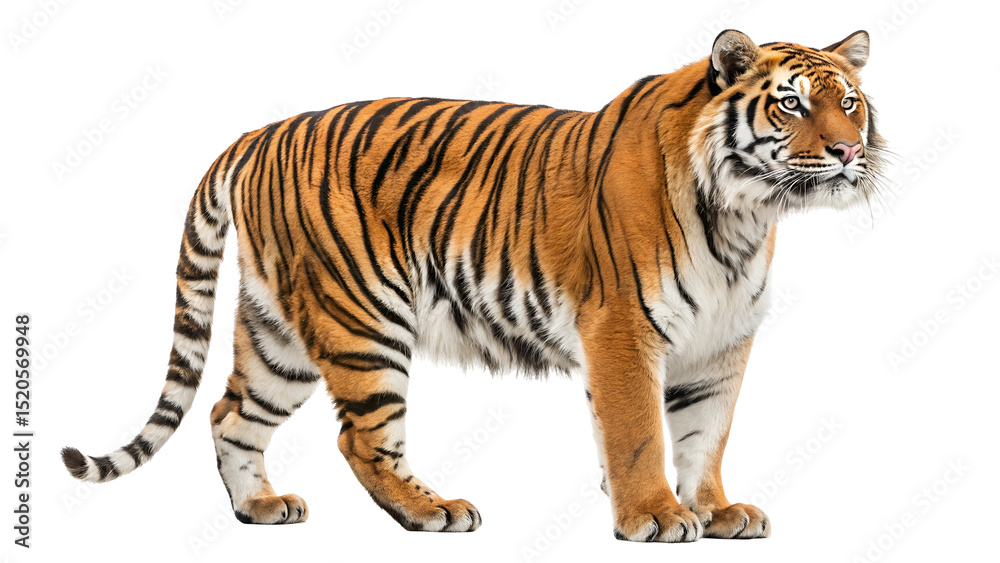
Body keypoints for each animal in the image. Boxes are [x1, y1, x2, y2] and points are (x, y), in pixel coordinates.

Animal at [62, 29, 885, 542]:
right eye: (791, 103)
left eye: (849, 101)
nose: (849, 151)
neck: (747, 215)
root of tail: (258, 133)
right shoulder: (622, 330)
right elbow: (640, 434)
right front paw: (652, 516)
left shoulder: (719, 347)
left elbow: (705, 436)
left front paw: (716, 512)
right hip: (361, 321)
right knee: (360, 438)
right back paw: (434, 511)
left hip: (280, 335)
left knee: (230, 412)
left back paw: (260, 508)